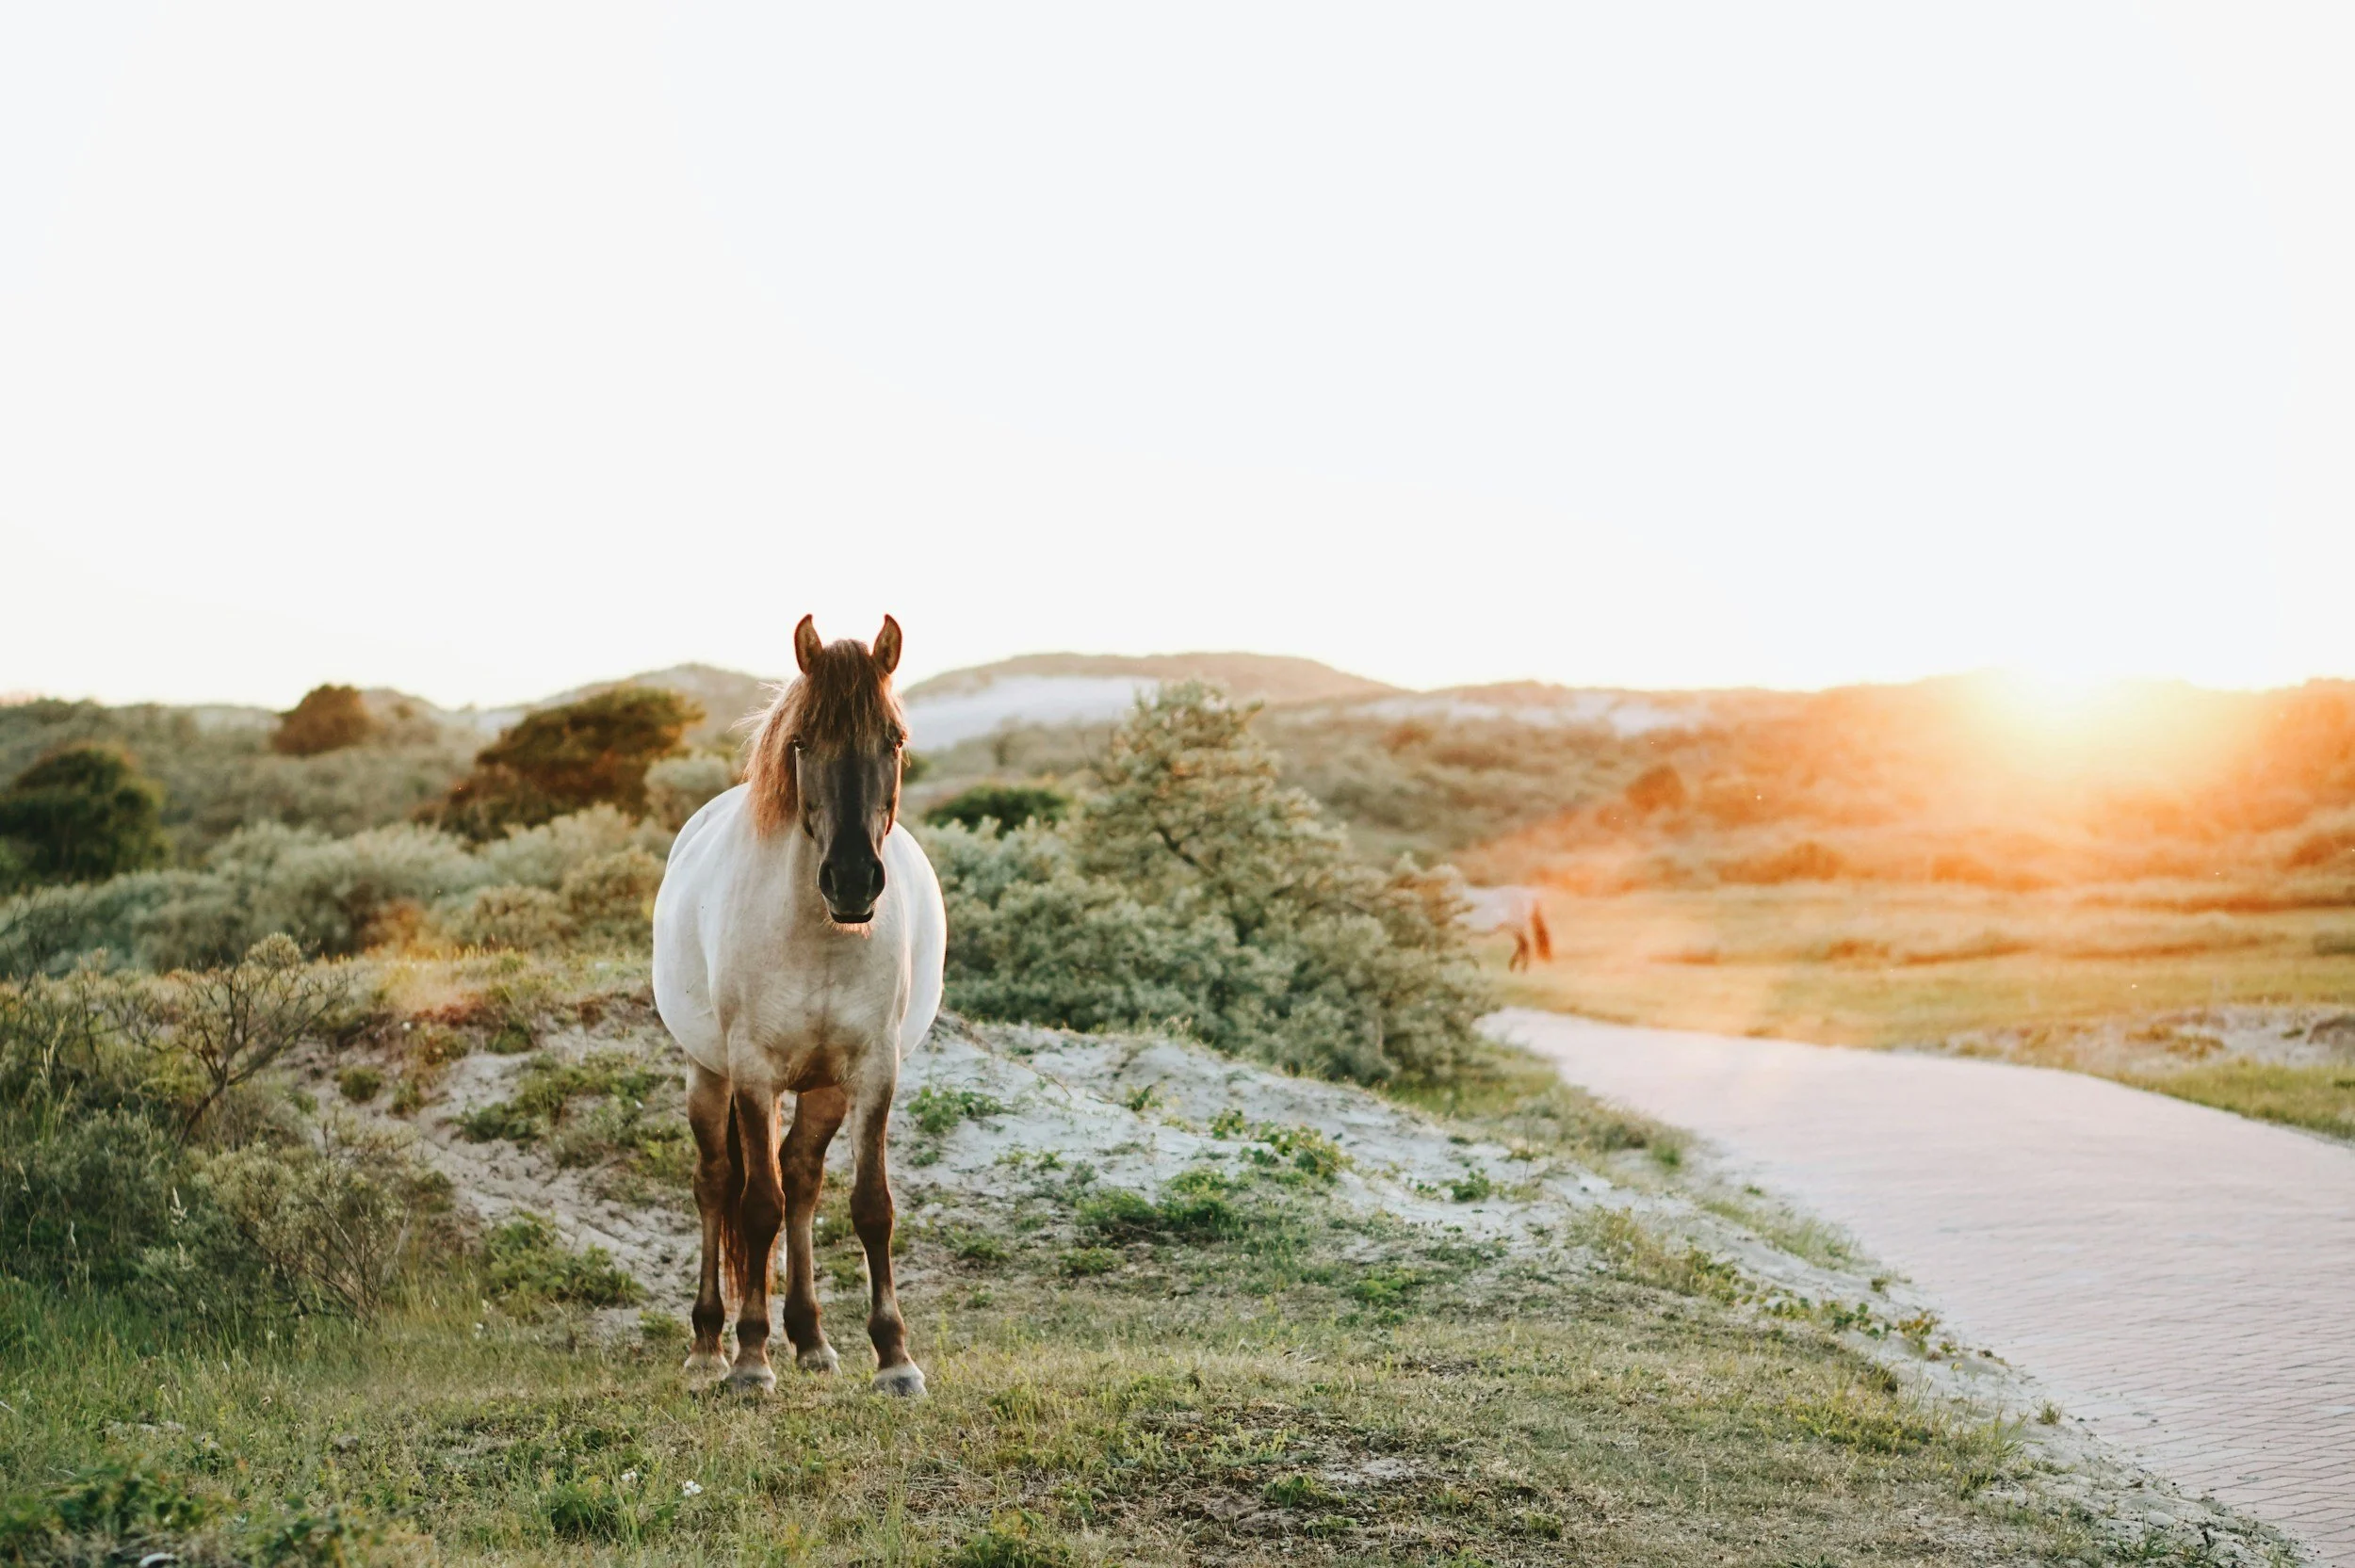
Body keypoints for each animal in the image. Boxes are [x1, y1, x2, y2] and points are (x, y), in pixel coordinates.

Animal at [652, 614, 946, 1396]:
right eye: (802, 741)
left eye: (893, 739)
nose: (852, 879)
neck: (821, 934)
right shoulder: (754, 1072)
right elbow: (759, 1205)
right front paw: (751, 1360)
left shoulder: (873, 1072)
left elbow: (870, 1206)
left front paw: (894, 1356)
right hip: (707, 1072)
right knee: (717, 1183)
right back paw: (709, 1344)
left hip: (822, 1088)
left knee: (805, 1179)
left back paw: (811, 1337)